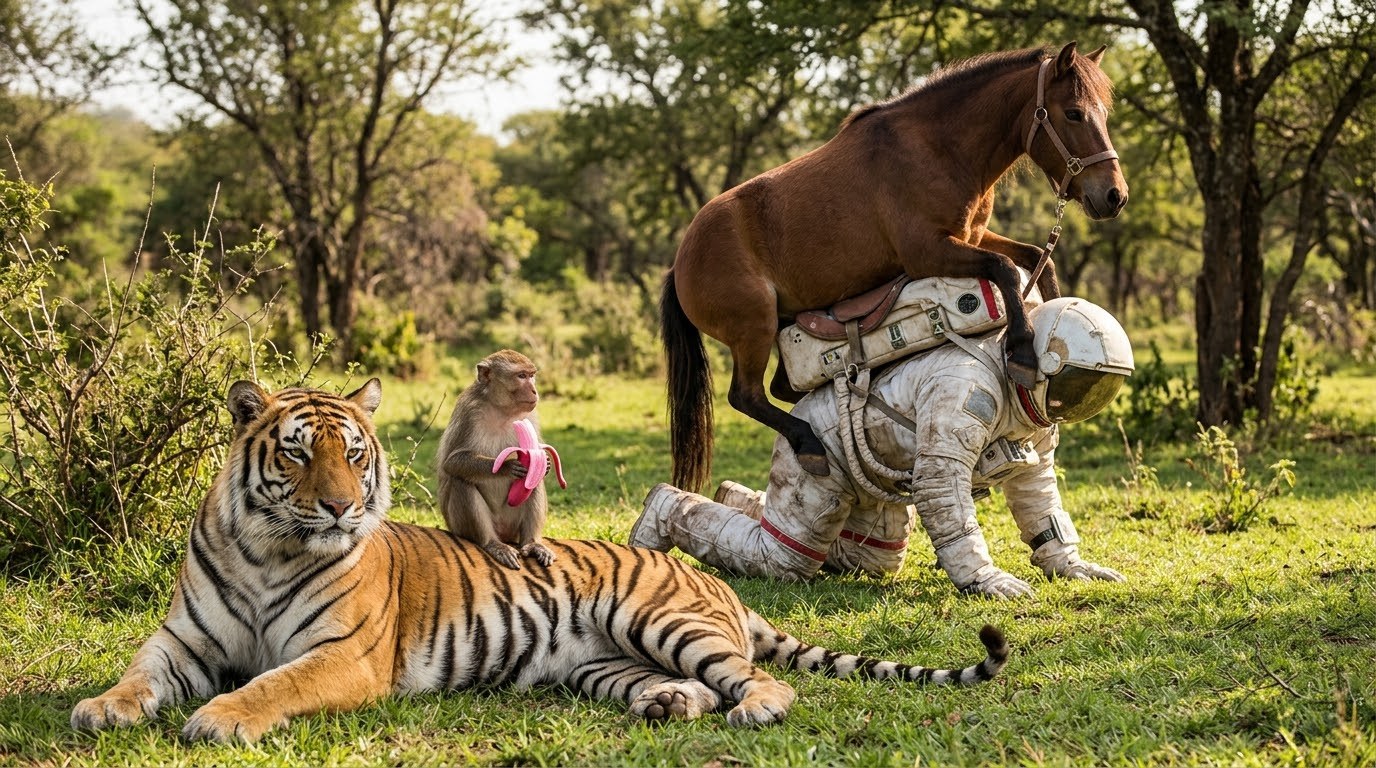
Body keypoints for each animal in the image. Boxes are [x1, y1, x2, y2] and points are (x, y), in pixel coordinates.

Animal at [70, 380, 1010, 743]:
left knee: (760, 682)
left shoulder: (342, 656)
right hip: (604, 662)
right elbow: (139, 672)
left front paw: (220, 718)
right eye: (299, 454)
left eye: (355, 454)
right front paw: (101, 708)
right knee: (695, 686)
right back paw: (670, 704)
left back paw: (753, 711)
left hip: (658, 618)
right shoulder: (184, 641)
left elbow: (273, 683)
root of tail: (711, 580)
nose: (340, 506)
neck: (270, 549)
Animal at [661, 42, 1127, 493]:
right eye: (1073, 113)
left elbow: (1033, 260)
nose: (1114, 196)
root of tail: (680, 264)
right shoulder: (928, 253)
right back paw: (810, 443)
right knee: (747, 396)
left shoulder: (973, 236)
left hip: (785, 323)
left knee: (782, 388)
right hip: (755, 330)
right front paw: (1024, 353)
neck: (938, 148)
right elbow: (1006, 270)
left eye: (1104, 114)